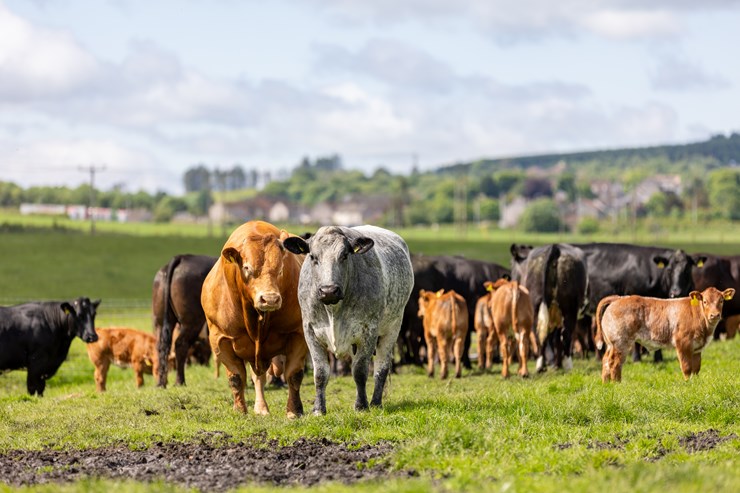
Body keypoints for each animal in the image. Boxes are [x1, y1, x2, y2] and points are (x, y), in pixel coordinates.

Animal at [153, 254, 216, 387]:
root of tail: (182, 257)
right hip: (192, 321)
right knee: (181, 344)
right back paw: (179, 381)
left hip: (161, 322)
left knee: (161, 347)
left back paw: (161, 383)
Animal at [202, 221, 307, 417]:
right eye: (247, 268)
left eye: (280, 269)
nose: (270, 299)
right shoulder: (220, 340)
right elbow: (236, 377)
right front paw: (240, 410)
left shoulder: (299, 335)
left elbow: (294, 375)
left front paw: (294, 411)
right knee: (257, 377)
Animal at [283, 225, 413, 414]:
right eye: (313, 257)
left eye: (344, 255)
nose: (328, 290)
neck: (334, 311)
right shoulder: (310, 331)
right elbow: (320, 373)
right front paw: (318, 409)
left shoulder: (368, 331)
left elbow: (359, 371)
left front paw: (361, 405)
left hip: (392, 328)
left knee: (381, 368)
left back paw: (376, 402)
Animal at [511, 243, 588, 373]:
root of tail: (555, 247)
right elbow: (556, 339)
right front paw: (557, 364)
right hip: (569, 308)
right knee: (564, 334)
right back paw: (565, 365)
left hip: (538, 307)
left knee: (541, 334)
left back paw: (541, 365)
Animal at [597, 287, 735, 382]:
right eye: (705, 301)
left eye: (721, 301)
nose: (715, 315)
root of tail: (619, 298)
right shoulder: (683, 343)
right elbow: (687, 367)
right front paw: (688, 384)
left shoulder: (697, 349)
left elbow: (696, 368)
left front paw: (695, 383)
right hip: (621, 342)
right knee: (615, 363)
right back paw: (617, 384)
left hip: (611, 344)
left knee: (606, 361)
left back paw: (606, 385)